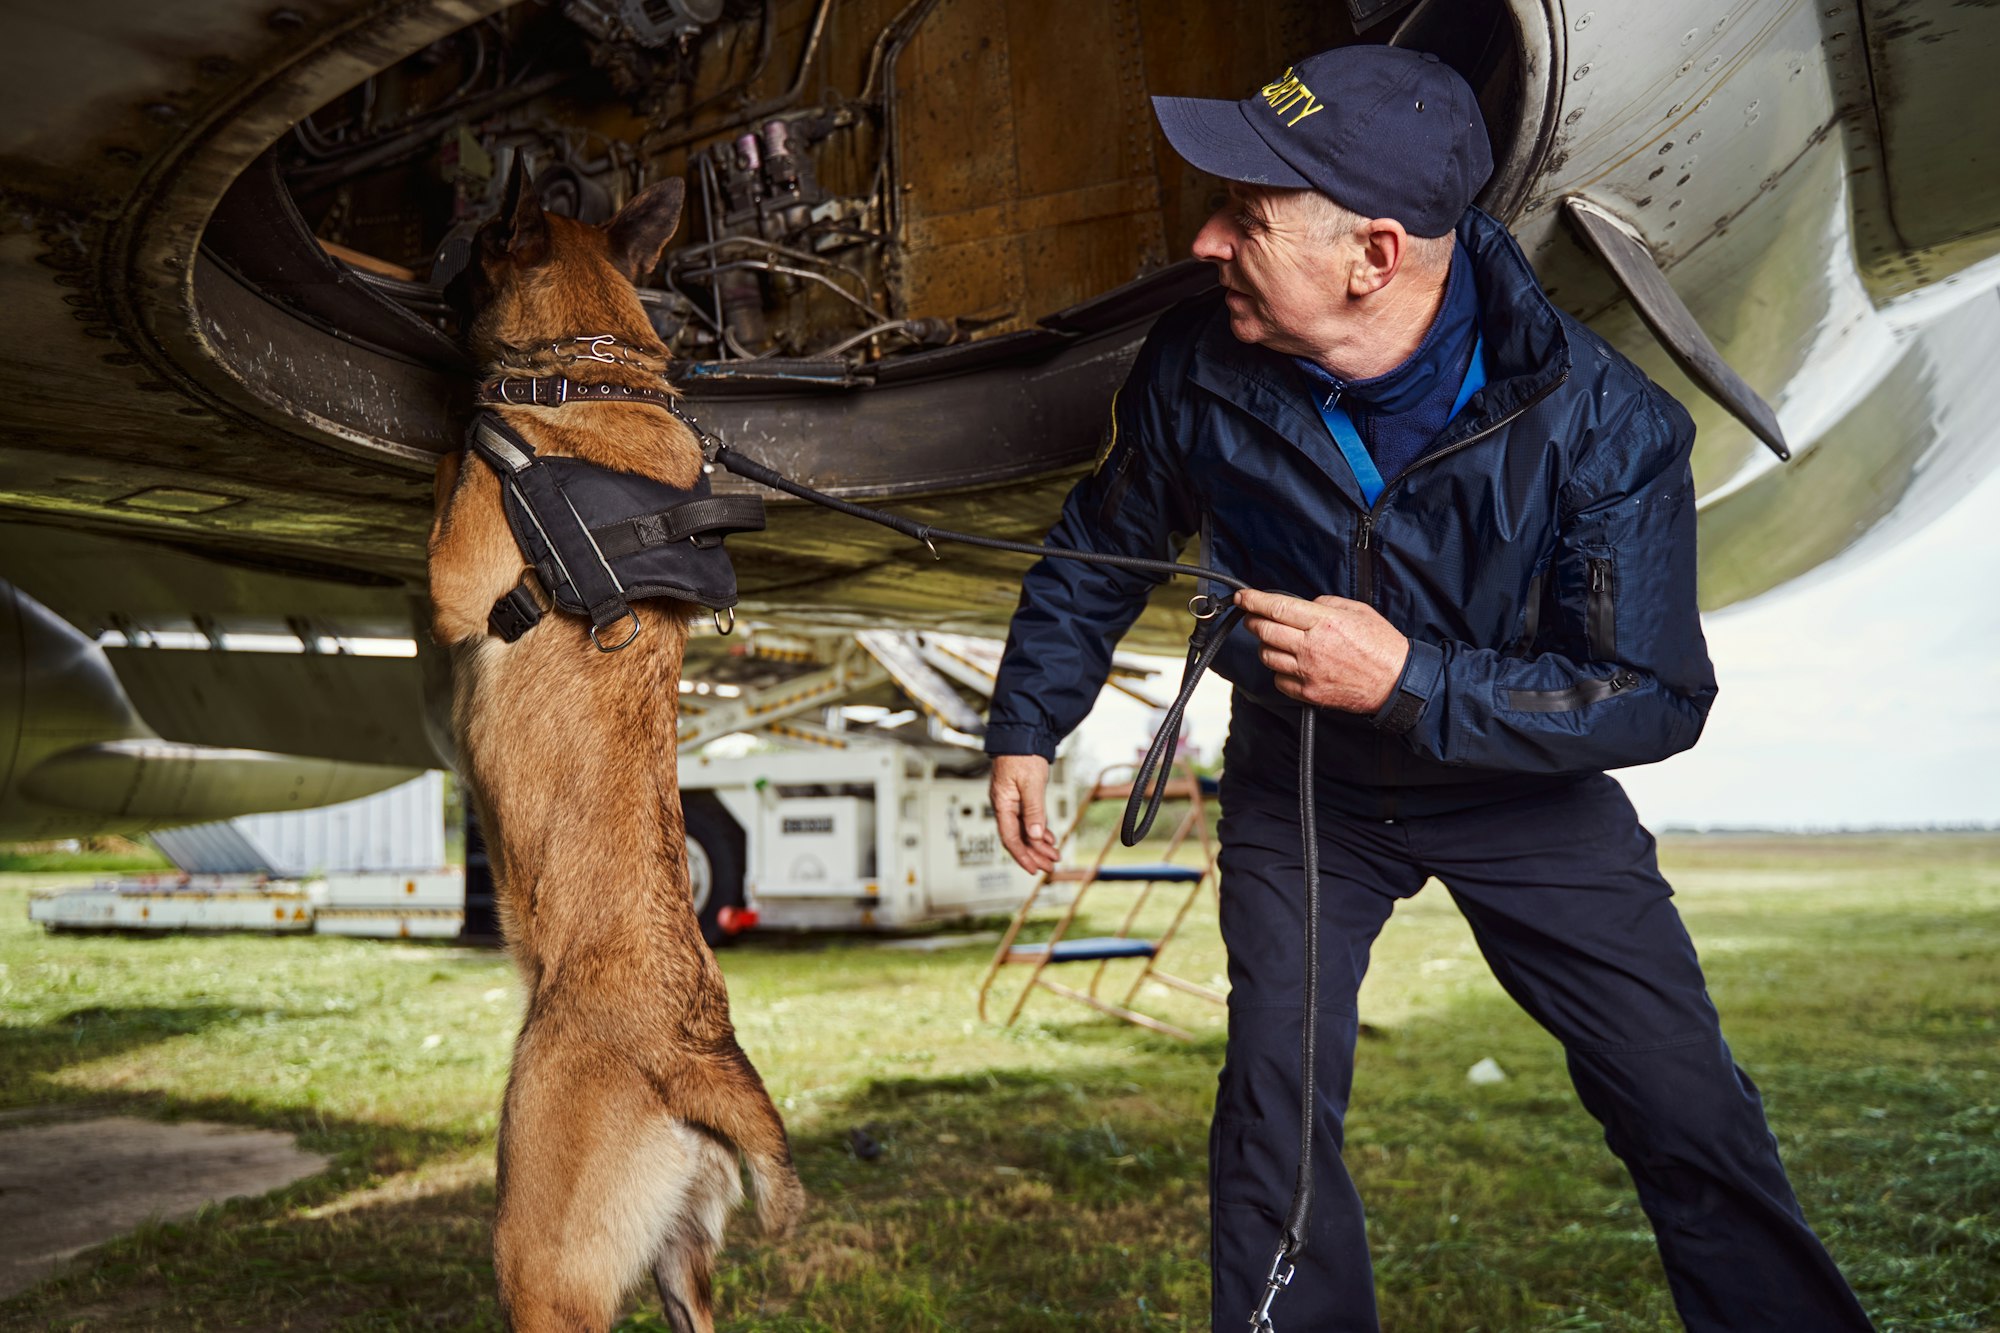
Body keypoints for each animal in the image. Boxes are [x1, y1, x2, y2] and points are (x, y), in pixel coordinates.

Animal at [428, 169, 804, 1328]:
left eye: (473, 247)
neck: (597, 372)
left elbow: (458, 465)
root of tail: (694, 1053)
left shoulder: (455, 573)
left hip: (539, 1265)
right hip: (682, 1270)